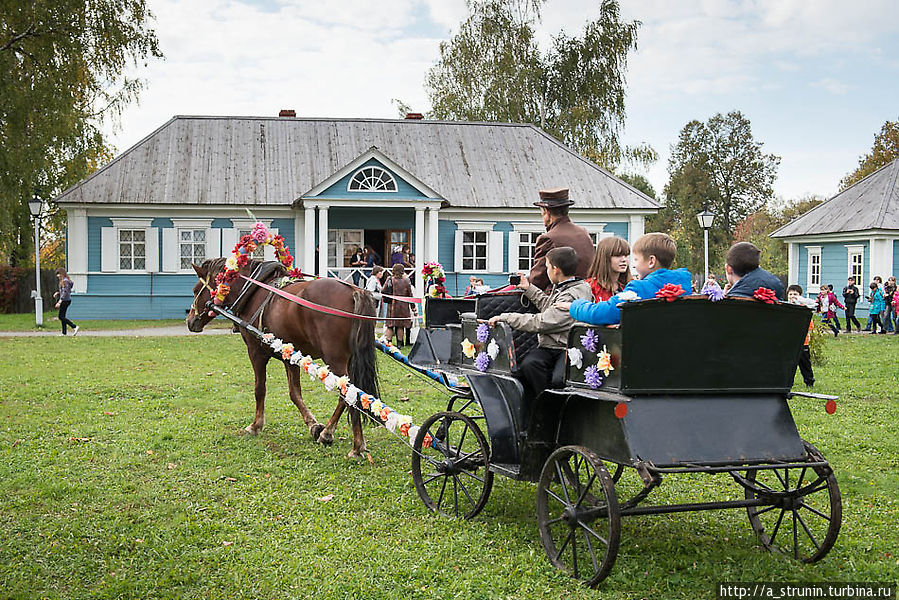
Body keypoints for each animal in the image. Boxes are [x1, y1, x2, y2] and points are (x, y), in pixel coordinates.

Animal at [185, 258, 378, 460]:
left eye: (195, 290)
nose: (190, 321)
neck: (253, 290)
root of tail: (355, 291)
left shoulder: (255, 352)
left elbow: (259, 389)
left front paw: (256, 425)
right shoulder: (290, 357)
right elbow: (294, 393)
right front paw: (313, 425)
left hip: (335, 360)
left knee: (347, 394)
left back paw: (353, 445)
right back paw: (335, 435)